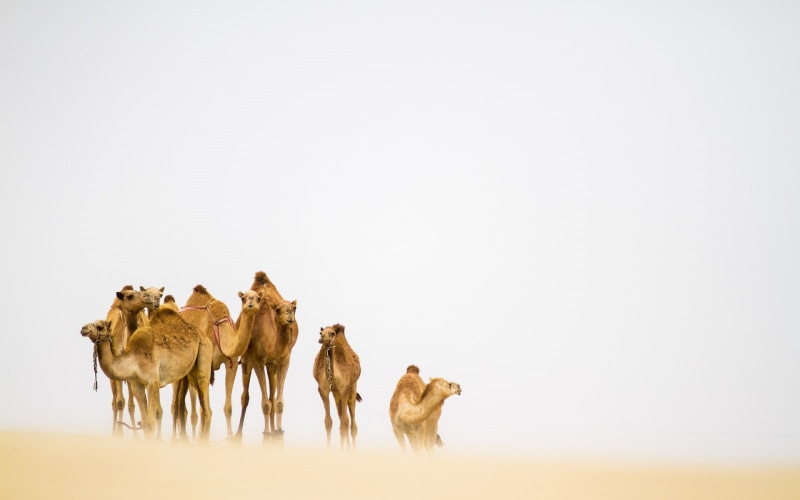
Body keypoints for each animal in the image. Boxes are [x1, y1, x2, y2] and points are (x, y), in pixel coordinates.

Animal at [80, 303, 214, 442]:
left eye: (100, 327)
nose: (83, 328)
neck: (134, 359)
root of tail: (203, 336)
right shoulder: (136, 385)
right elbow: (144, 422)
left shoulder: (153, 382)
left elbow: (150, 423)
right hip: (191, 370)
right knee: (203, 406)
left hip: (204, 352)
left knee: (206, 405)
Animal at [172, 285, 261, 441]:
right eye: (243, 298)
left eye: (258, 298)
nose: (250, 302)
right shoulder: (206, 365)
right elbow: (205, 408)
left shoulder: (231, 362)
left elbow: (227, 408)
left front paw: (230, 437)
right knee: (175, 404)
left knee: (181, 403)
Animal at [236, 271, 299, 443]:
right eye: (277, 309)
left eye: (294, 308)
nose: (290, 316)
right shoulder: (257, 360)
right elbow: (265, 404)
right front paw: (266, 433)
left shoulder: (284, 359)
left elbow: (278, 402)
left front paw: (279, 431)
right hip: (247, 362)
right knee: (245, 396)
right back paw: (238, 434)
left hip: (272, 366)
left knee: (271, 396)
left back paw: (274, 429)